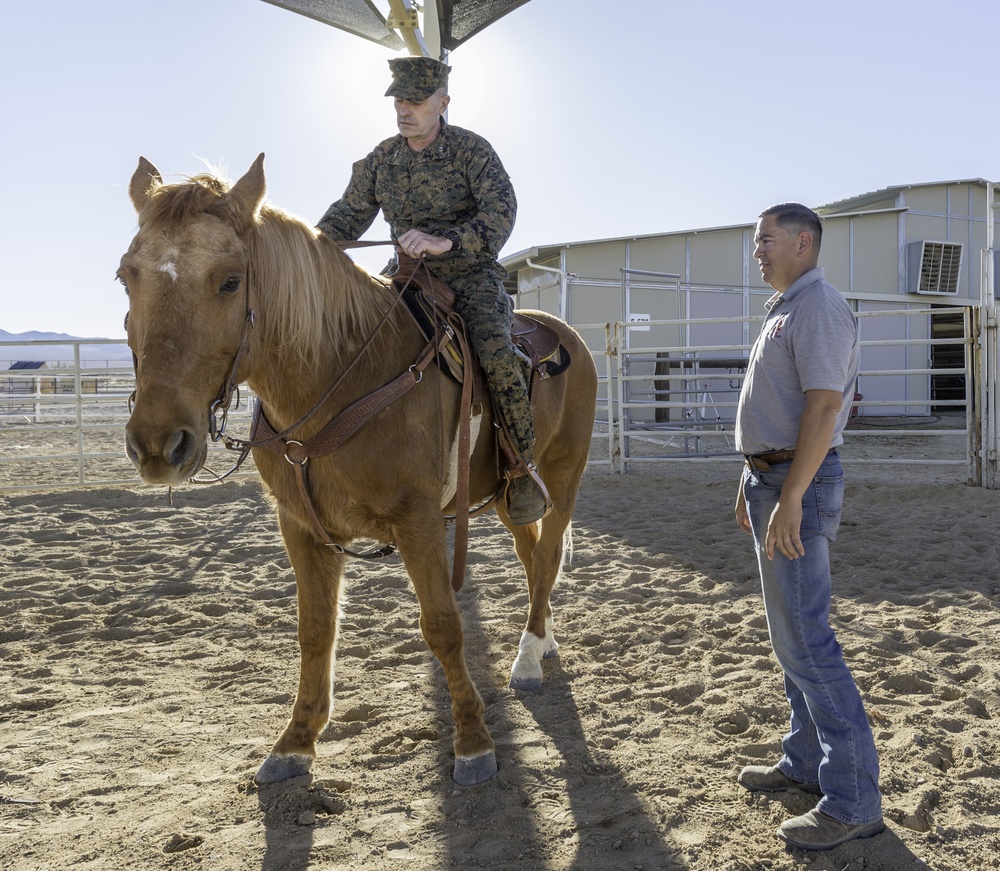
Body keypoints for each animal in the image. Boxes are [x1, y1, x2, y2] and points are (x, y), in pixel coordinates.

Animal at [120, 155, 596, 792]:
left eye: (229, 280)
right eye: (126, 276)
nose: (157, 443)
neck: (342, 373)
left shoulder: (419, 521)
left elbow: (442, 625)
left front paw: (473, 744)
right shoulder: (300, 526)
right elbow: (316, 629)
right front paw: (295, 743)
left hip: (565, 471)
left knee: (545, 559)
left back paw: (526, 660)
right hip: (508, 494)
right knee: (531, 551)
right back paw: (540, 641)